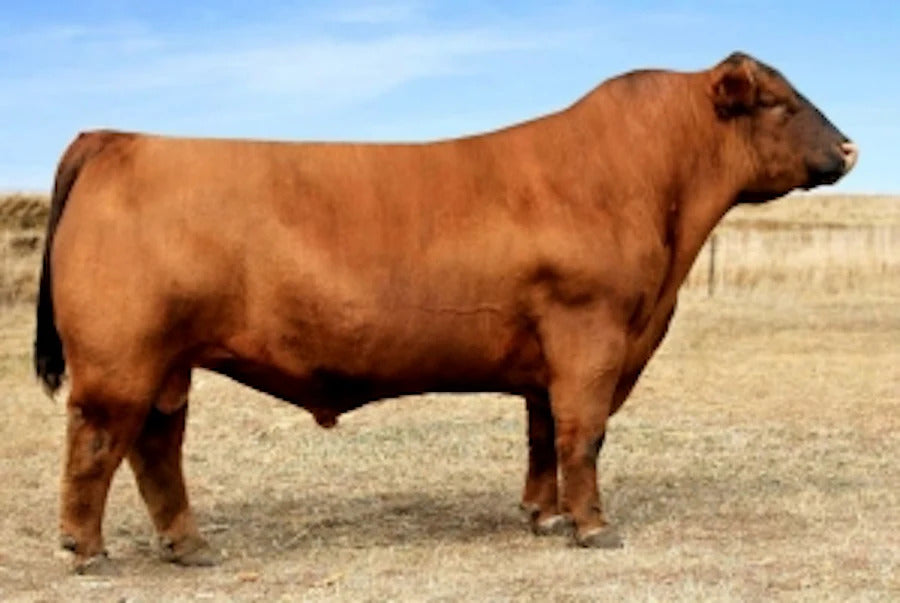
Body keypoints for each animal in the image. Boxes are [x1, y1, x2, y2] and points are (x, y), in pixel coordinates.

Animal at [34, 52, 857, 573]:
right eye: (779, 103)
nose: (849, 147)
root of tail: (117, 137)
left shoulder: (547, 359)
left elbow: (542, 436)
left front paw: (545, 516)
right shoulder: (590, 336)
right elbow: (584, 434)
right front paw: (593, 527)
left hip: (166, 363)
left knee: (155, 446)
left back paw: (189, 545)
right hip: (121, 358)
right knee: (99, 440)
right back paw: (87, 549)